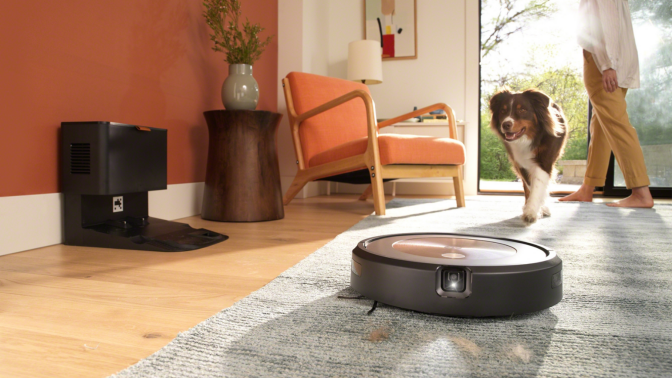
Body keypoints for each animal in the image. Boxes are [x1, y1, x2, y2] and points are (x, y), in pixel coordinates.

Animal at [488, 88, 568, 224]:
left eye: (522, 110)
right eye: (503, 111)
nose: (505, 124)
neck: (530, 138)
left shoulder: (544, 161)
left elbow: (538, 185)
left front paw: (531, 212)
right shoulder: (520, 163)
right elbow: (530, 187)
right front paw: (535, 209)